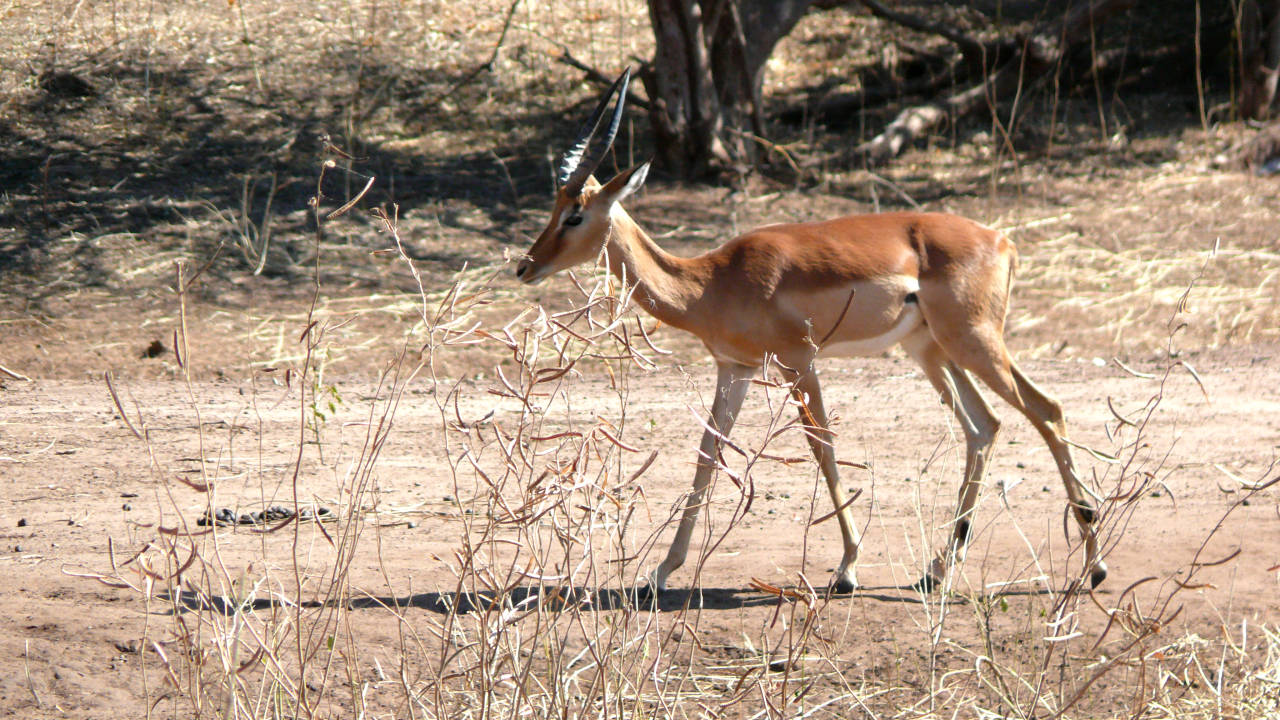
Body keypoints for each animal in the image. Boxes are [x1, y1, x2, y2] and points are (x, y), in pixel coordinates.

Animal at [516, 69, 1106, 595]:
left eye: (575, 214)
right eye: (553, 207)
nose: (525, 266)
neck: (712, 281)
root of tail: (1001, 240)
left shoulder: (798, 360)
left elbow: (822, 446)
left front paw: (847, 568)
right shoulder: (737, 368)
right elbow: (709, 452)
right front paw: (660, 573)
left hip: (975, 341)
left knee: (1046, 409)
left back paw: (1092, 566)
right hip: (931, 350)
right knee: (984, 426)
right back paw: (937, 571)